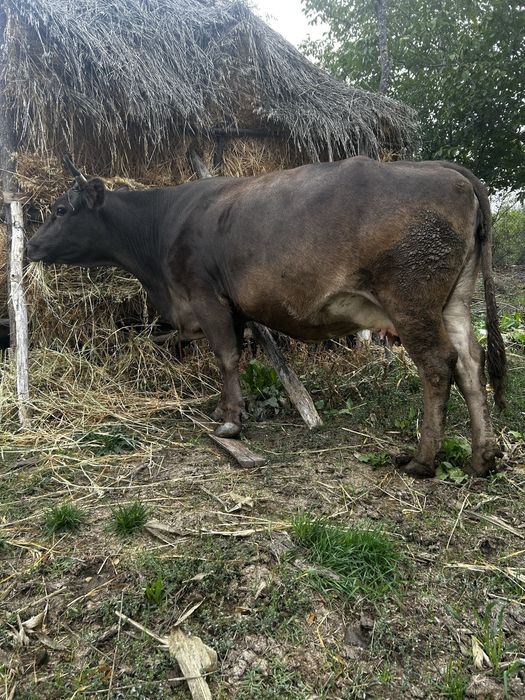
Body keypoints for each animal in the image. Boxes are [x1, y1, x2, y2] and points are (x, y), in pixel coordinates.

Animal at [27, 155, 506, 479]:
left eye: (61, 210)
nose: (30, 245)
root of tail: (442, 170)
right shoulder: (232, 306)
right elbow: (232, 358)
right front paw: (227, 408)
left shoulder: (206, 295)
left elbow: (225, 356)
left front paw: (231, 423)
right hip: (454, 300)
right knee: (470, 360)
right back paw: (483, 456)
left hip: (412, 302)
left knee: (438, 364)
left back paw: (422, 460)